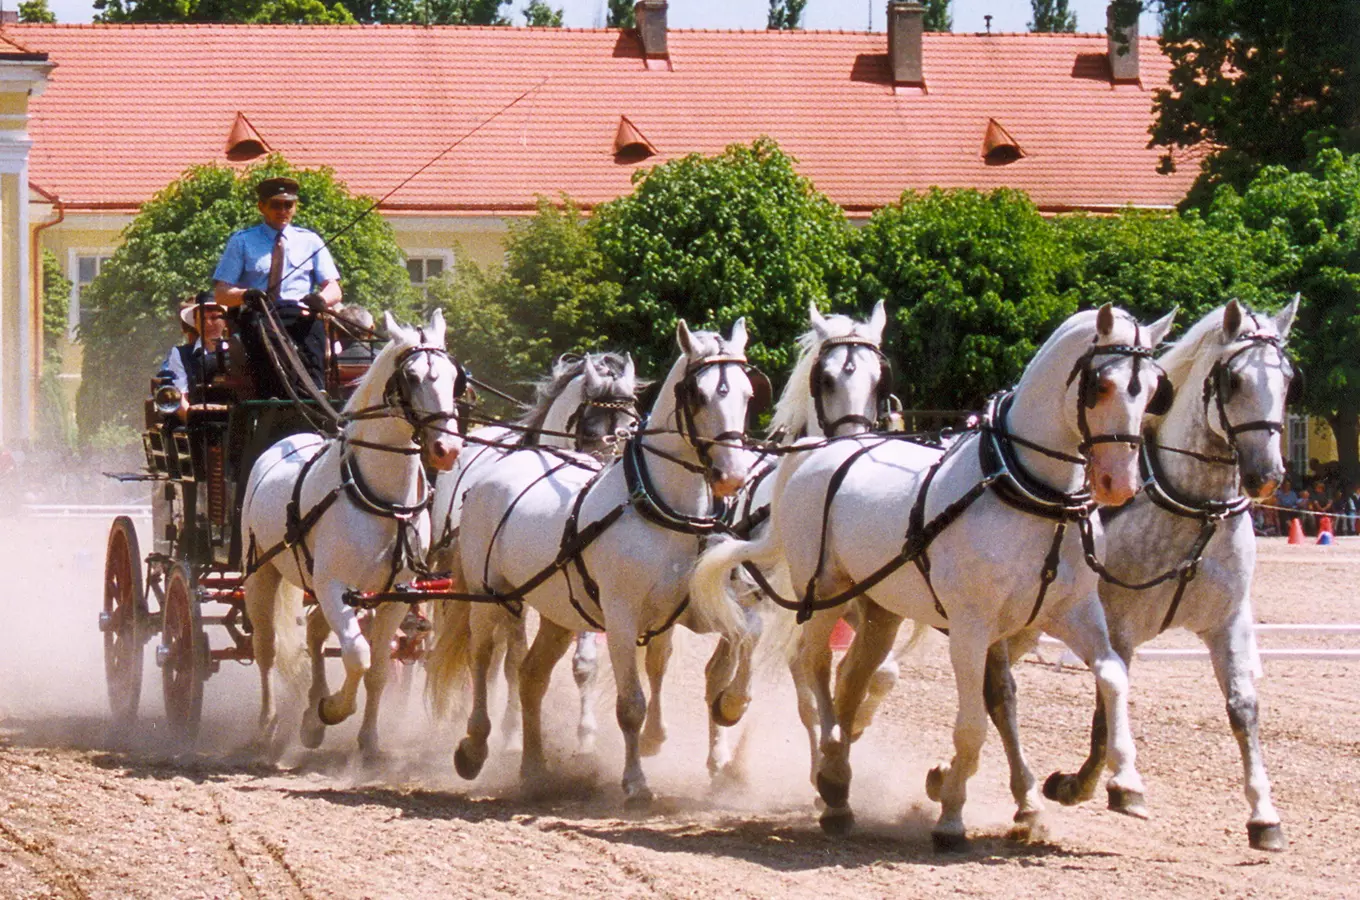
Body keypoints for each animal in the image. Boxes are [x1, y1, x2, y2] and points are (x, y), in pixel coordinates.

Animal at [248, 309, 467, 761]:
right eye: (411, 377)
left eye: (456, 377)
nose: (447, 450)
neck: (383, 499)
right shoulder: (333, 586)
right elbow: (357, 655)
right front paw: (331, 709)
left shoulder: (394, 595)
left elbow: (378, 669)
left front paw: (366, 740)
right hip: (262, 572)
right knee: (265, 648)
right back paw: (268, 723)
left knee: (314, 632)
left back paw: (310, 715)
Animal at [424, 353, 636, 755]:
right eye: (589, 429)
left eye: (631, 427)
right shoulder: (510, 594)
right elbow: (516, 660)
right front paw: (511, 733)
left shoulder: (580, 585)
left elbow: (584, 663)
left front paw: (586, 735)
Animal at [696, 307, 1175, 848]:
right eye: (1102, 385)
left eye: (1153, 388)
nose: (1120, 483)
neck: (1029, 491)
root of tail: (817, 452)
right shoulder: (970, 627)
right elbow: (972, 724)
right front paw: (951, 814)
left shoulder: (1070, 614)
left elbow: (1110, 677)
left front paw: (1123, 784)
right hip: (823, 593)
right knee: (811, 666)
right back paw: (828, 776)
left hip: (879, 609)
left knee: (851, 678)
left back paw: (836, 777)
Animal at [1039, 297, 1294, 853]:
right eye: (1233, 380)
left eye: (1288, 379)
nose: (1267, 475)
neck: (1196, 509)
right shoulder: (1118, 625)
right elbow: (1106, 705)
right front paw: (1096, 784)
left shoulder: (1228, 624)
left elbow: (1244, 708)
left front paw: (1264, 816)